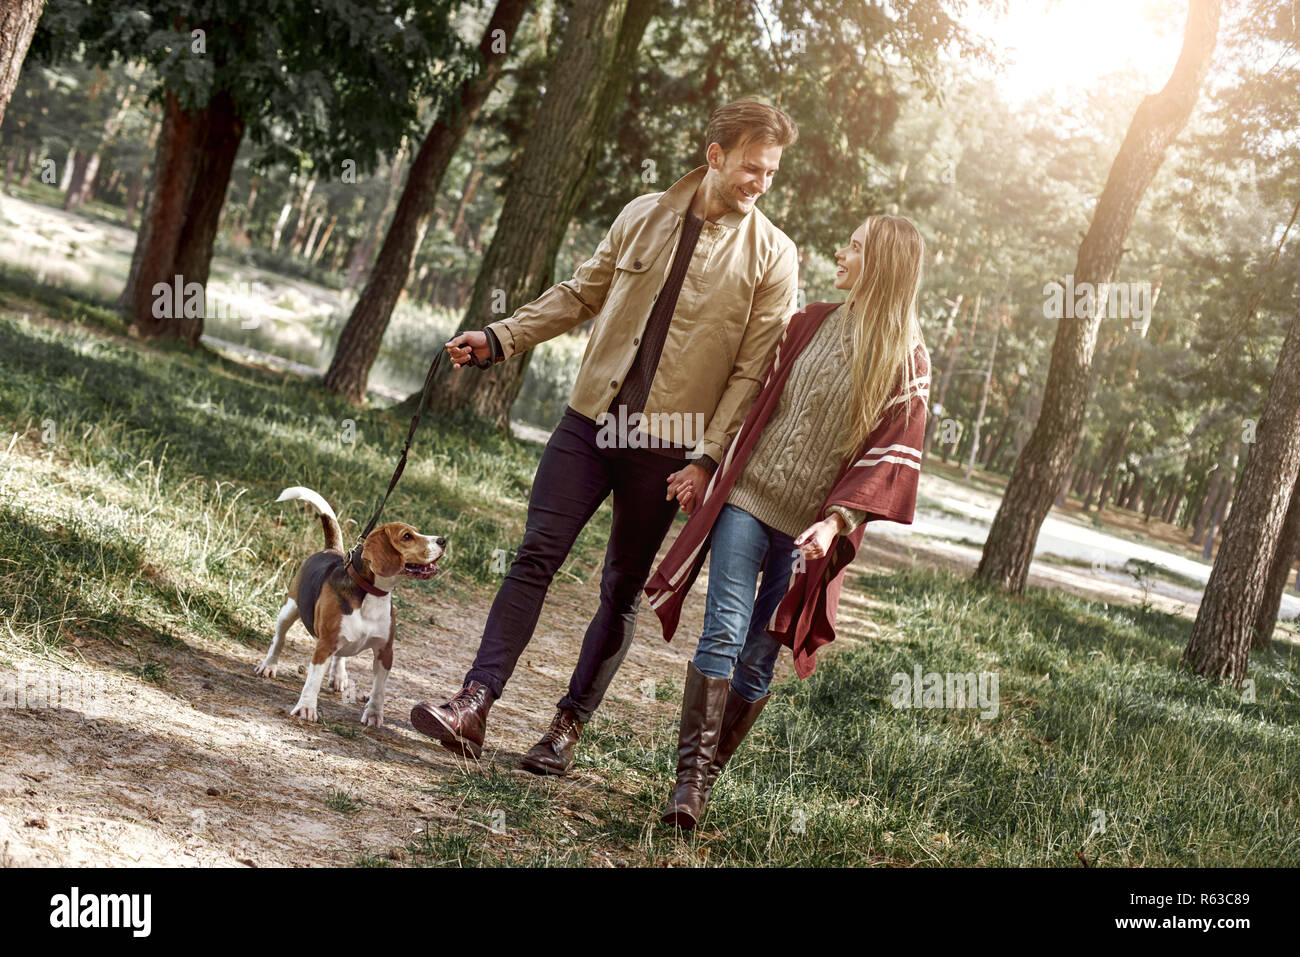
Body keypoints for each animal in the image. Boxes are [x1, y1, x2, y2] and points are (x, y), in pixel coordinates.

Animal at [253, 488, 447, 728]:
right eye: (407, 537)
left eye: (418, 532)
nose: (443, 540)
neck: (372, 594)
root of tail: (330, 549)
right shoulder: (324, 645)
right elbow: (312, 681)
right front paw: (306, 708)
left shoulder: (385, 651)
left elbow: (379, 690)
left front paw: (373, 714)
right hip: (289, 609)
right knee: (279, 639)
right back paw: (269, 665)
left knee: (341, 655)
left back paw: (338, 676)